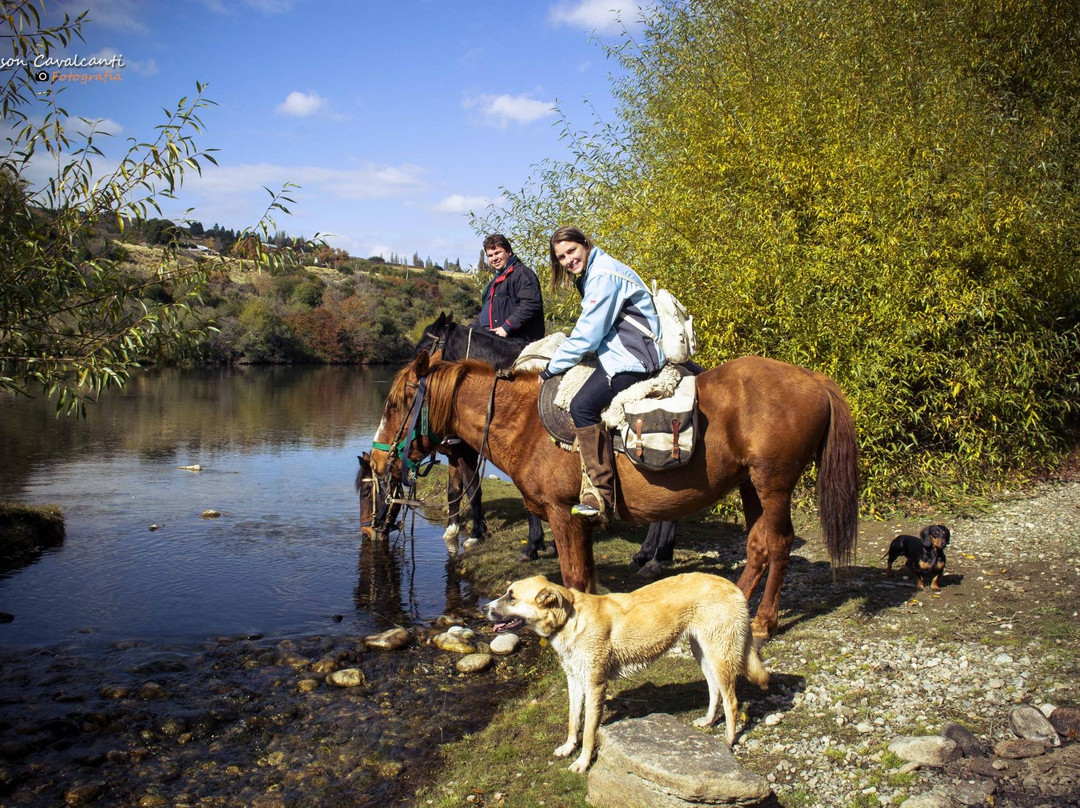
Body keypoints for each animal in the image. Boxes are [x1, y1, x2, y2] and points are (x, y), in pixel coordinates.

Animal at [371, 354, 859, 643]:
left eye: (394, 404)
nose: (378, 462)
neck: (524, 422)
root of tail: (815, 379)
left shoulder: (562, 515)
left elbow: (571, 577)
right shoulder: (580, 522)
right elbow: (584, 581)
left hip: (773, 484)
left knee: (775, 544)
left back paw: (759, 622)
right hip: (750, 486)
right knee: (761, 546)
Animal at [481, 570, 768, 773]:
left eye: (511, 596)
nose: (483, 608)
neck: (570, 619)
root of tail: (734, 587)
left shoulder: (595, 686)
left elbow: (588, 732)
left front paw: (583, 762)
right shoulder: (575, 682)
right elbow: (573, 721)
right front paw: (568, 747)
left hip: (720, 656)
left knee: (732, 701)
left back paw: (728, 740)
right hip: (704, 654)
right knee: (714, 690)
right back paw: (708, 721)